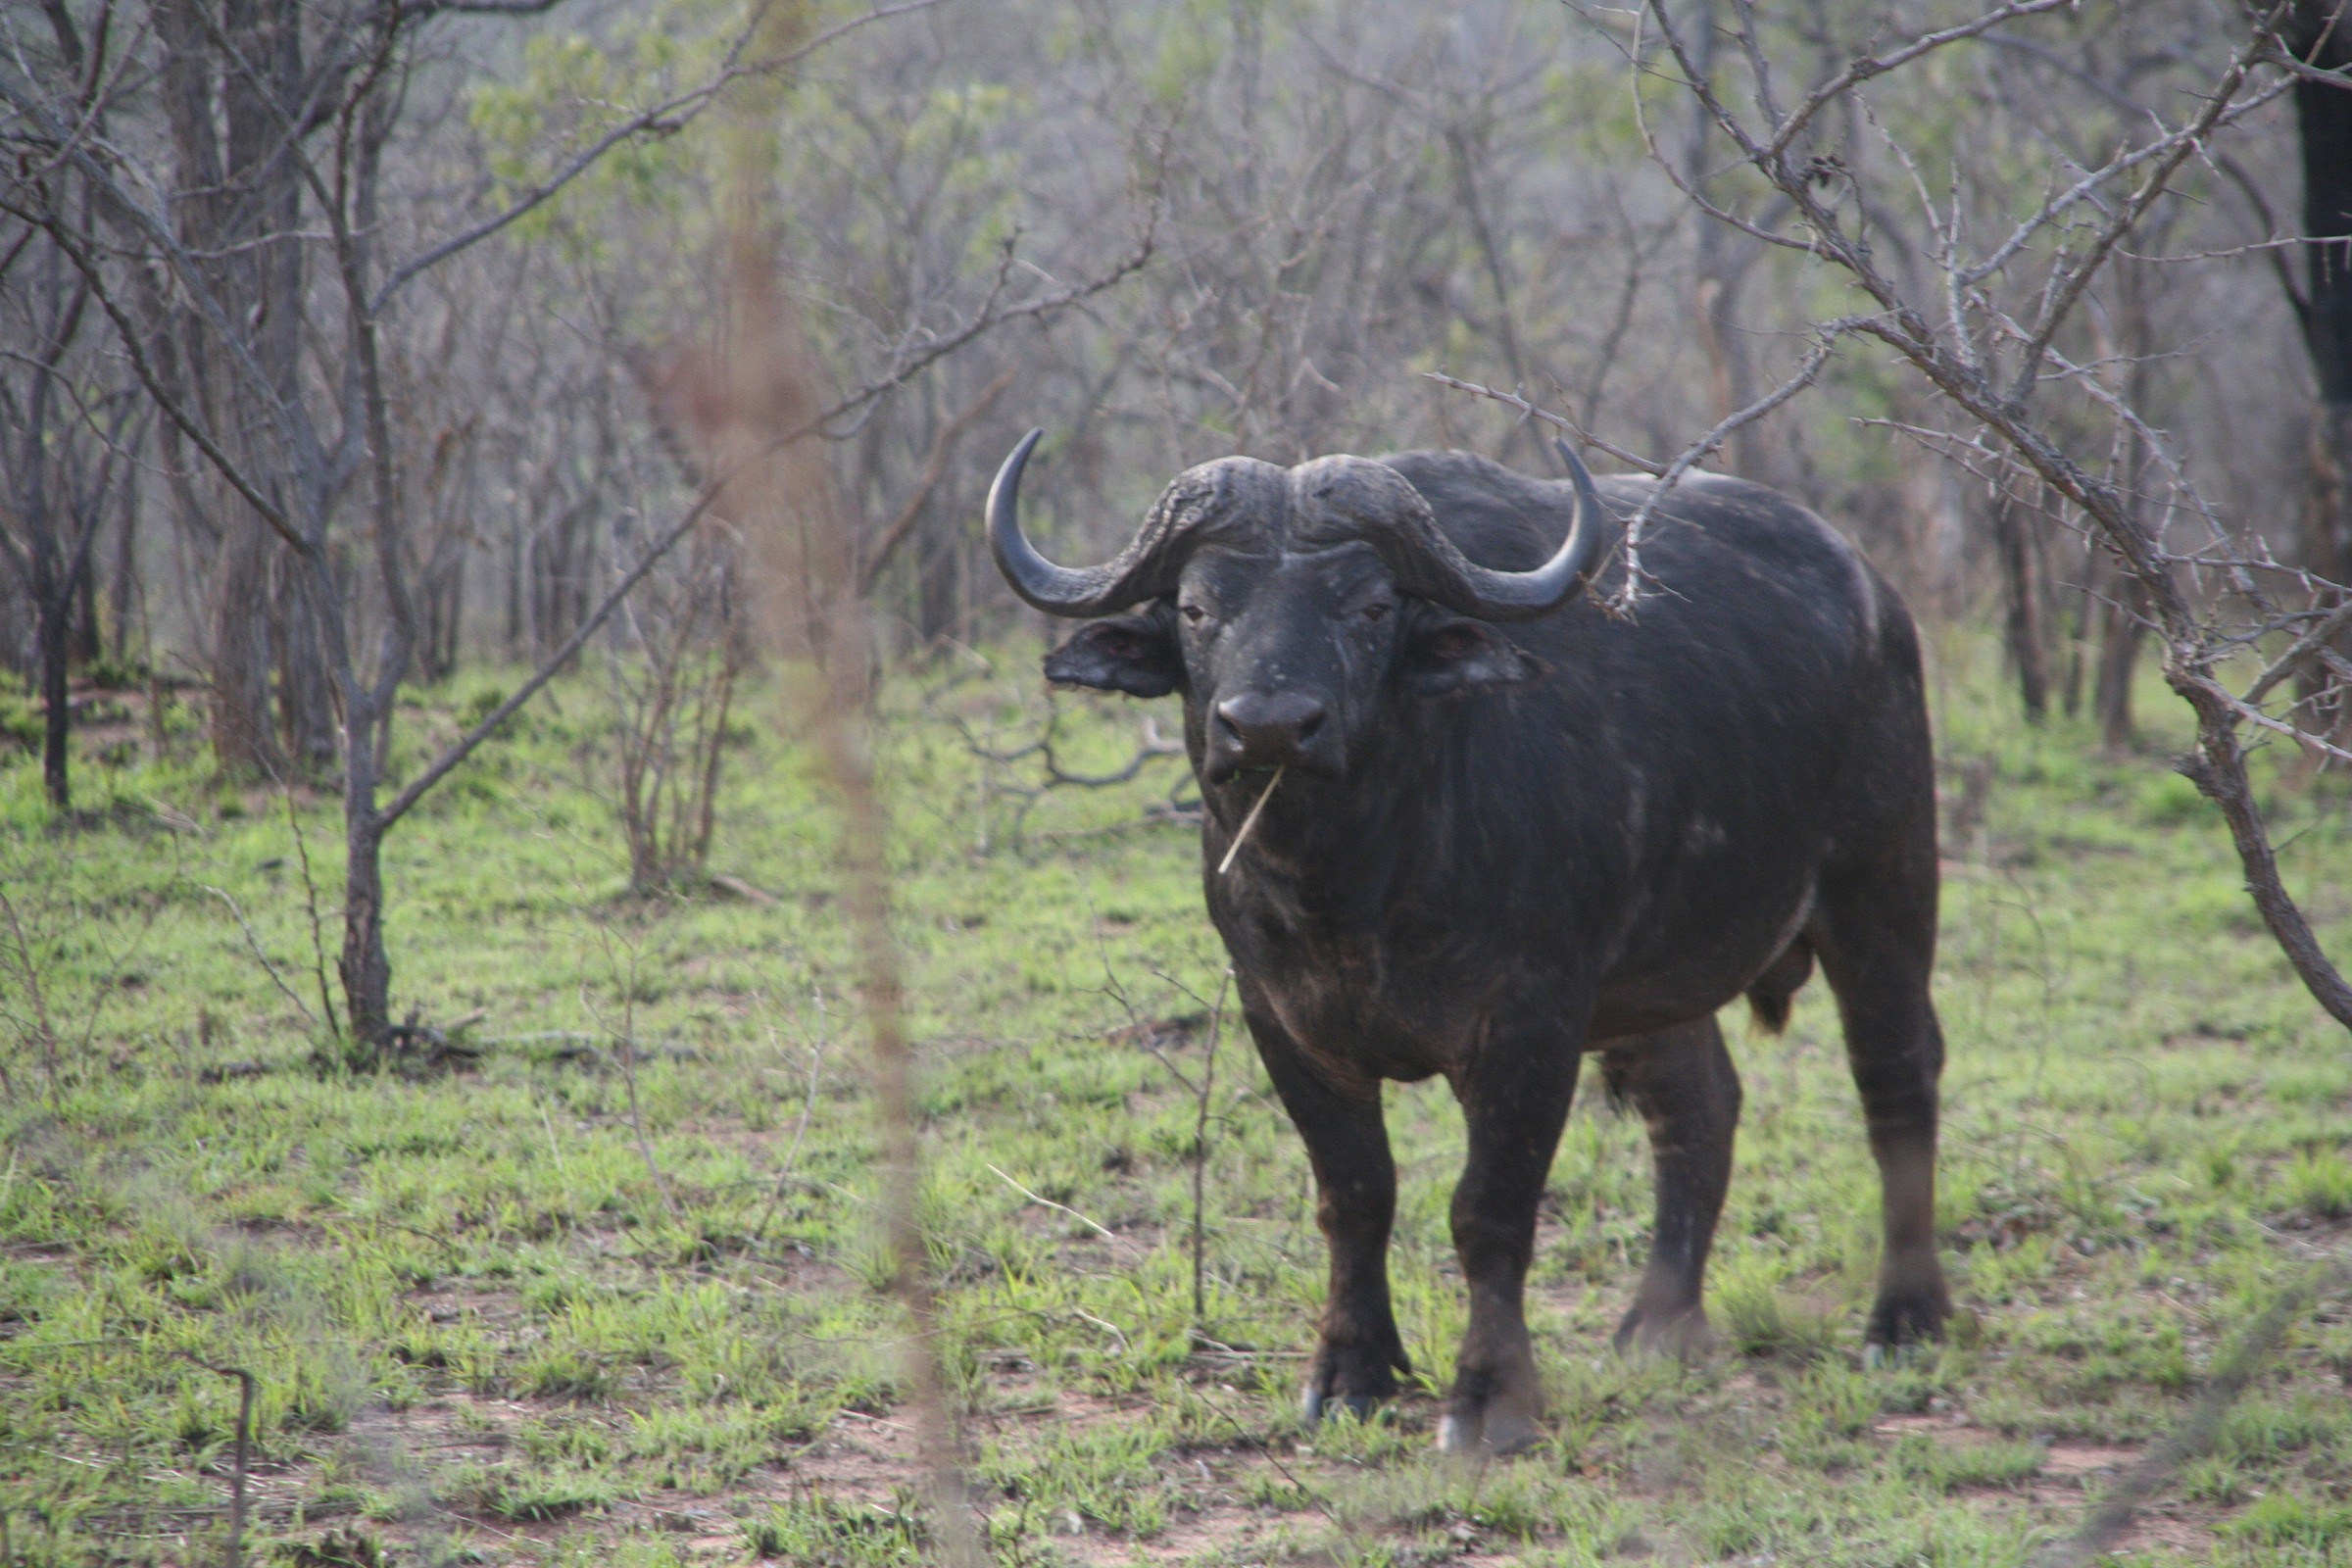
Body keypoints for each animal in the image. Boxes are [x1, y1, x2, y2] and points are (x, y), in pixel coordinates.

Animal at [988, 430, 1949, 1454]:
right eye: (1199, 607)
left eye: (1370, 607)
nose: (1270, 726)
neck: (1352, 881)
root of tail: (1873, 595)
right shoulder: (1282, 1020)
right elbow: (1355, 1194)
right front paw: (1351, 1372)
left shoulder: (1530, 1029)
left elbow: (1489, 1213)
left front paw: (1488, 1399)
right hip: (1655, 982)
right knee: (1698, 1105)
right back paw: (1658, 1326)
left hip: (1881, 890)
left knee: (1896, 1075)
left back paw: (1904, 1319)